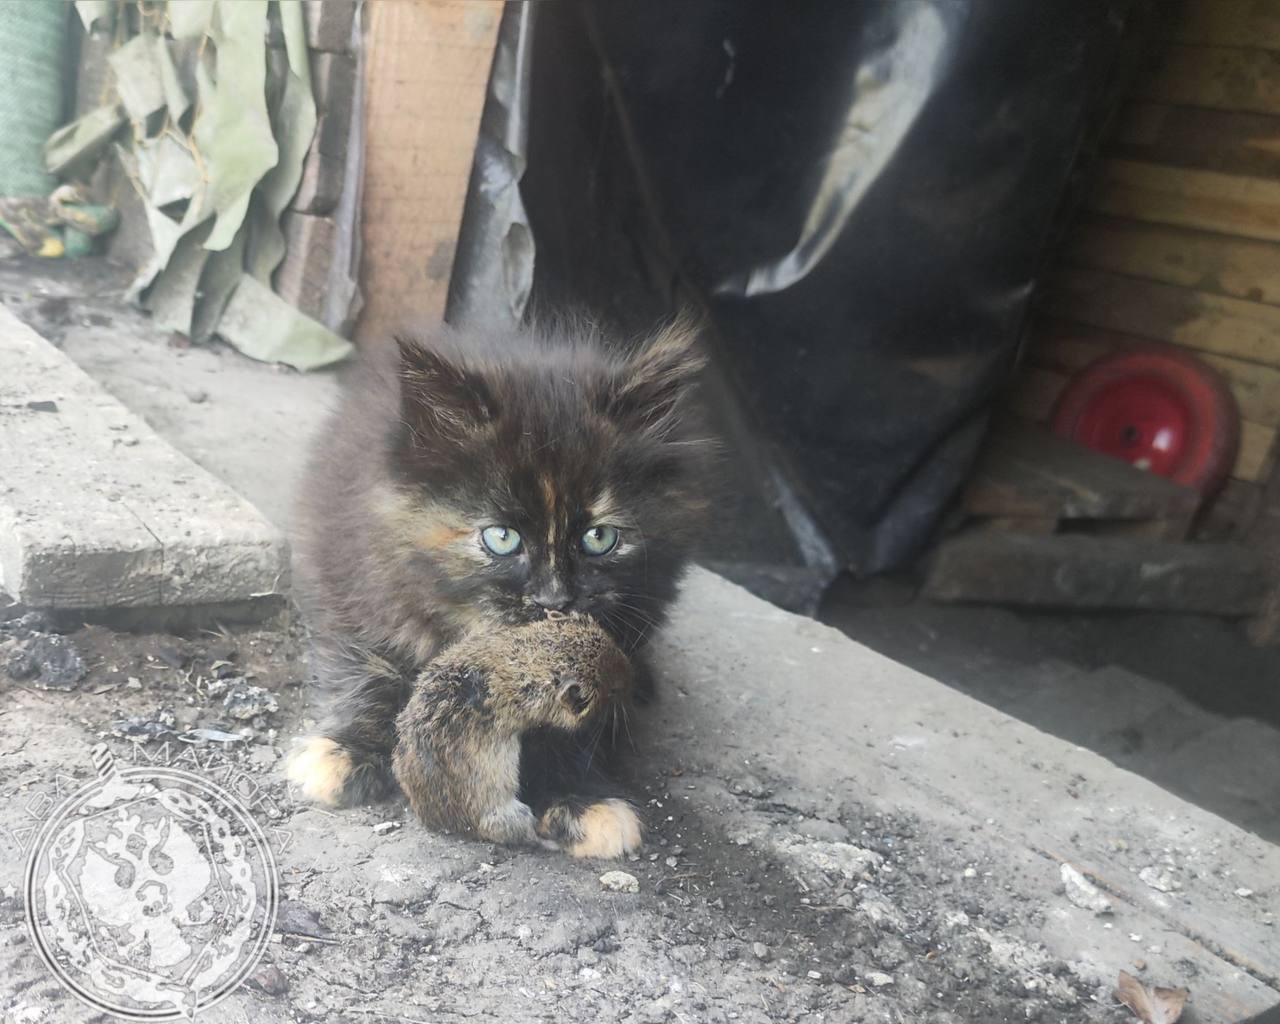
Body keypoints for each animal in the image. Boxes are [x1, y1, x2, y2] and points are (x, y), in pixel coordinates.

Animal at [287, 315, 710, 856]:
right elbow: (369, 669)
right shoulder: (353, 582)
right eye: (502, 537)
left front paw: (578, 798)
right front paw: (346, 751)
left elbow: (574, 716)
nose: (555, 600)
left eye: (599, 538)